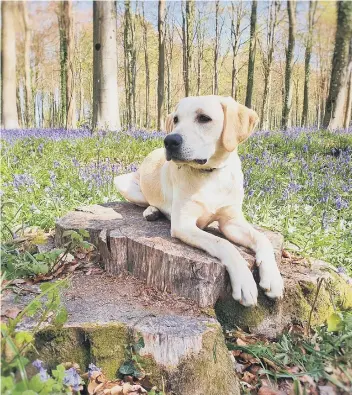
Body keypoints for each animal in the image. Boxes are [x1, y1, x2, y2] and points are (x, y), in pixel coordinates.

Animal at [114, 96, 284, 310]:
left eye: (204, 118)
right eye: (176, 119)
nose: (170, 141)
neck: (210, 175)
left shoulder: (231, 222)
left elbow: (263, 239)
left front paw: (273, 278)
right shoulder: (184, 224)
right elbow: (223, 244)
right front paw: (244, 282)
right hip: (122, 182)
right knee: (145, 202)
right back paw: (152, 211)